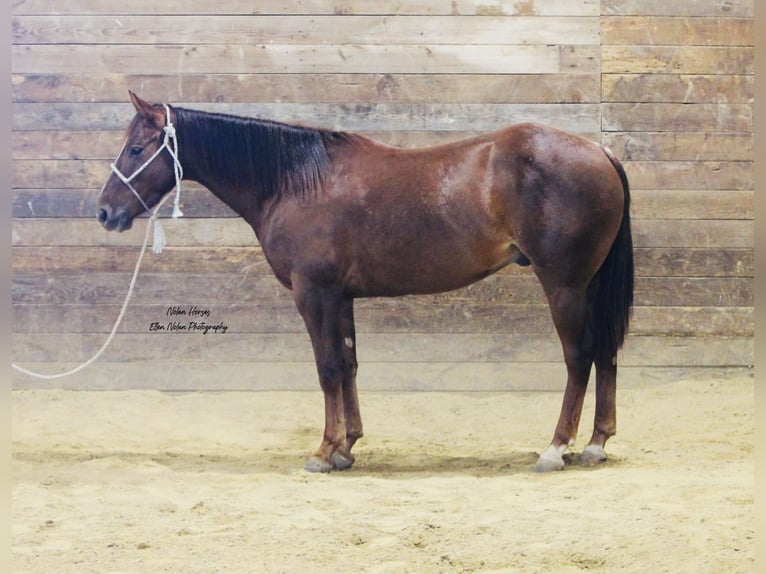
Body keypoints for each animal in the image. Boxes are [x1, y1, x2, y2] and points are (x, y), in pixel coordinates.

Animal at [99, 92, 632, 474]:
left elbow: (328, 368)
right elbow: (349, 365)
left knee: (579, 357)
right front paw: (347, 447)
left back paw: (555, 448)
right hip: (589, 285)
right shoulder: (341, 297)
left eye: (136, 148)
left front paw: (324, 451)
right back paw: (596, 444)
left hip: (563, 284)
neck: (296, 182)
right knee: (606, 351)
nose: (105, 212)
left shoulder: (313, 294)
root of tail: (598, 150)